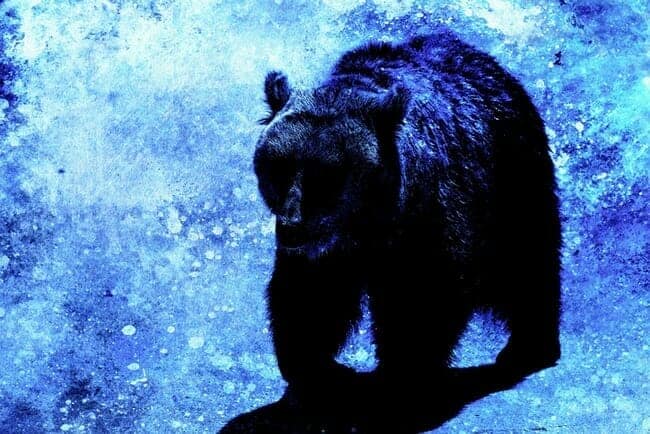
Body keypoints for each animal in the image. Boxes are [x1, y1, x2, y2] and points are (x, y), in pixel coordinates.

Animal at [249, 27, 561, 430]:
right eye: (278, 167)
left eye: (326, 177)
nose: (291, 227)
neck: (367, 225)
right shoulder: (323, 254)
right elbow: (310, 298)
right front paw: (317, 374)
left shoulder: (428, 220)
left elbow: (421, 301)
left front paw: (403, 385)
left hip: (513, 174)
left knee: (528, 257)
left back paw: (529, 343)